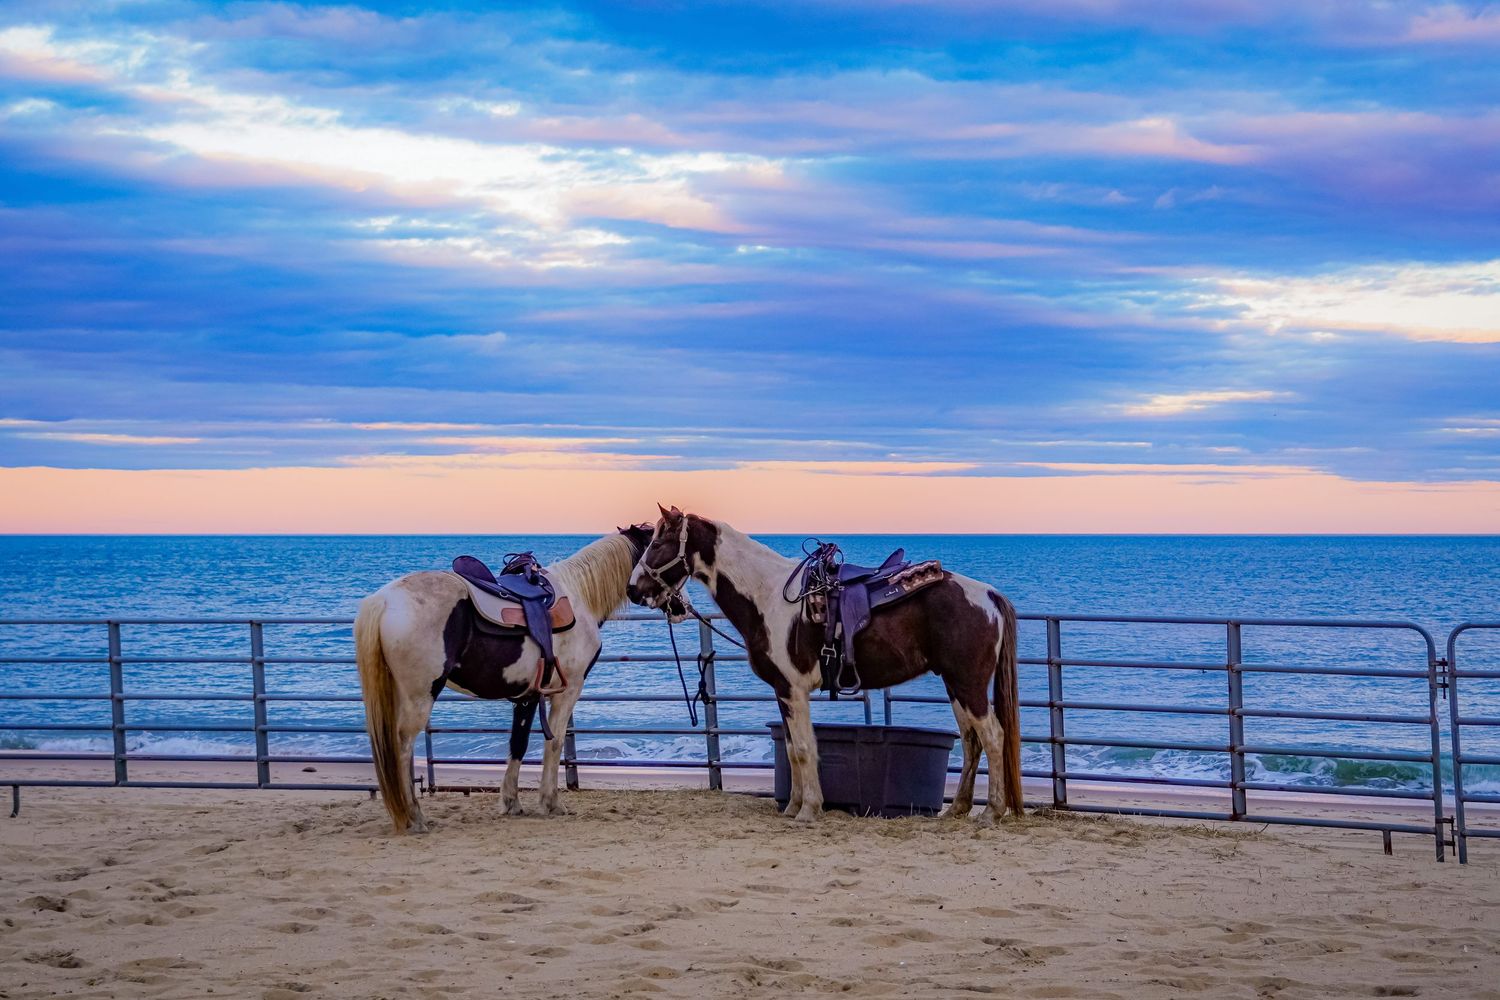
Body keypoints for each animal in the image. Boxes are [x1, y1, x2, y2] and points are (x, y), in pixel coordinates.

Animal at [355, 526, 655, 833]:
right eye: (656, 542)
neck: (578, 596)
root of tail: (384, 601)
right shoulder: (567, 691)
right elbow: (555, 743)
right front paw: (551, 803)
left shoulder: (528, 696)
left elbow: (518, 744)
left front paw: (512, 802)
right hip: (419, 696)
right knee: (403, 746)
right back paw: (414, 817)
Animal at [626, 507, 1023, 824]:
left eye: (658, 543)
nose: (633, 590)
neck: (768, 597)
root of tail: (988, 595)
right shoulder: (782, 692)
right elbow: (792, 750)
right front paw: (793, 807)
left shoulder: (793, 689)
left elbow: (803, 749)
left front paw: (808, 810)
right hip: (955, 685)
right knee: (971, 741)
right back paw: (958, 809)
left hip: (969, 685)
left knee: (993, 736)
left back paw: (991, 812)